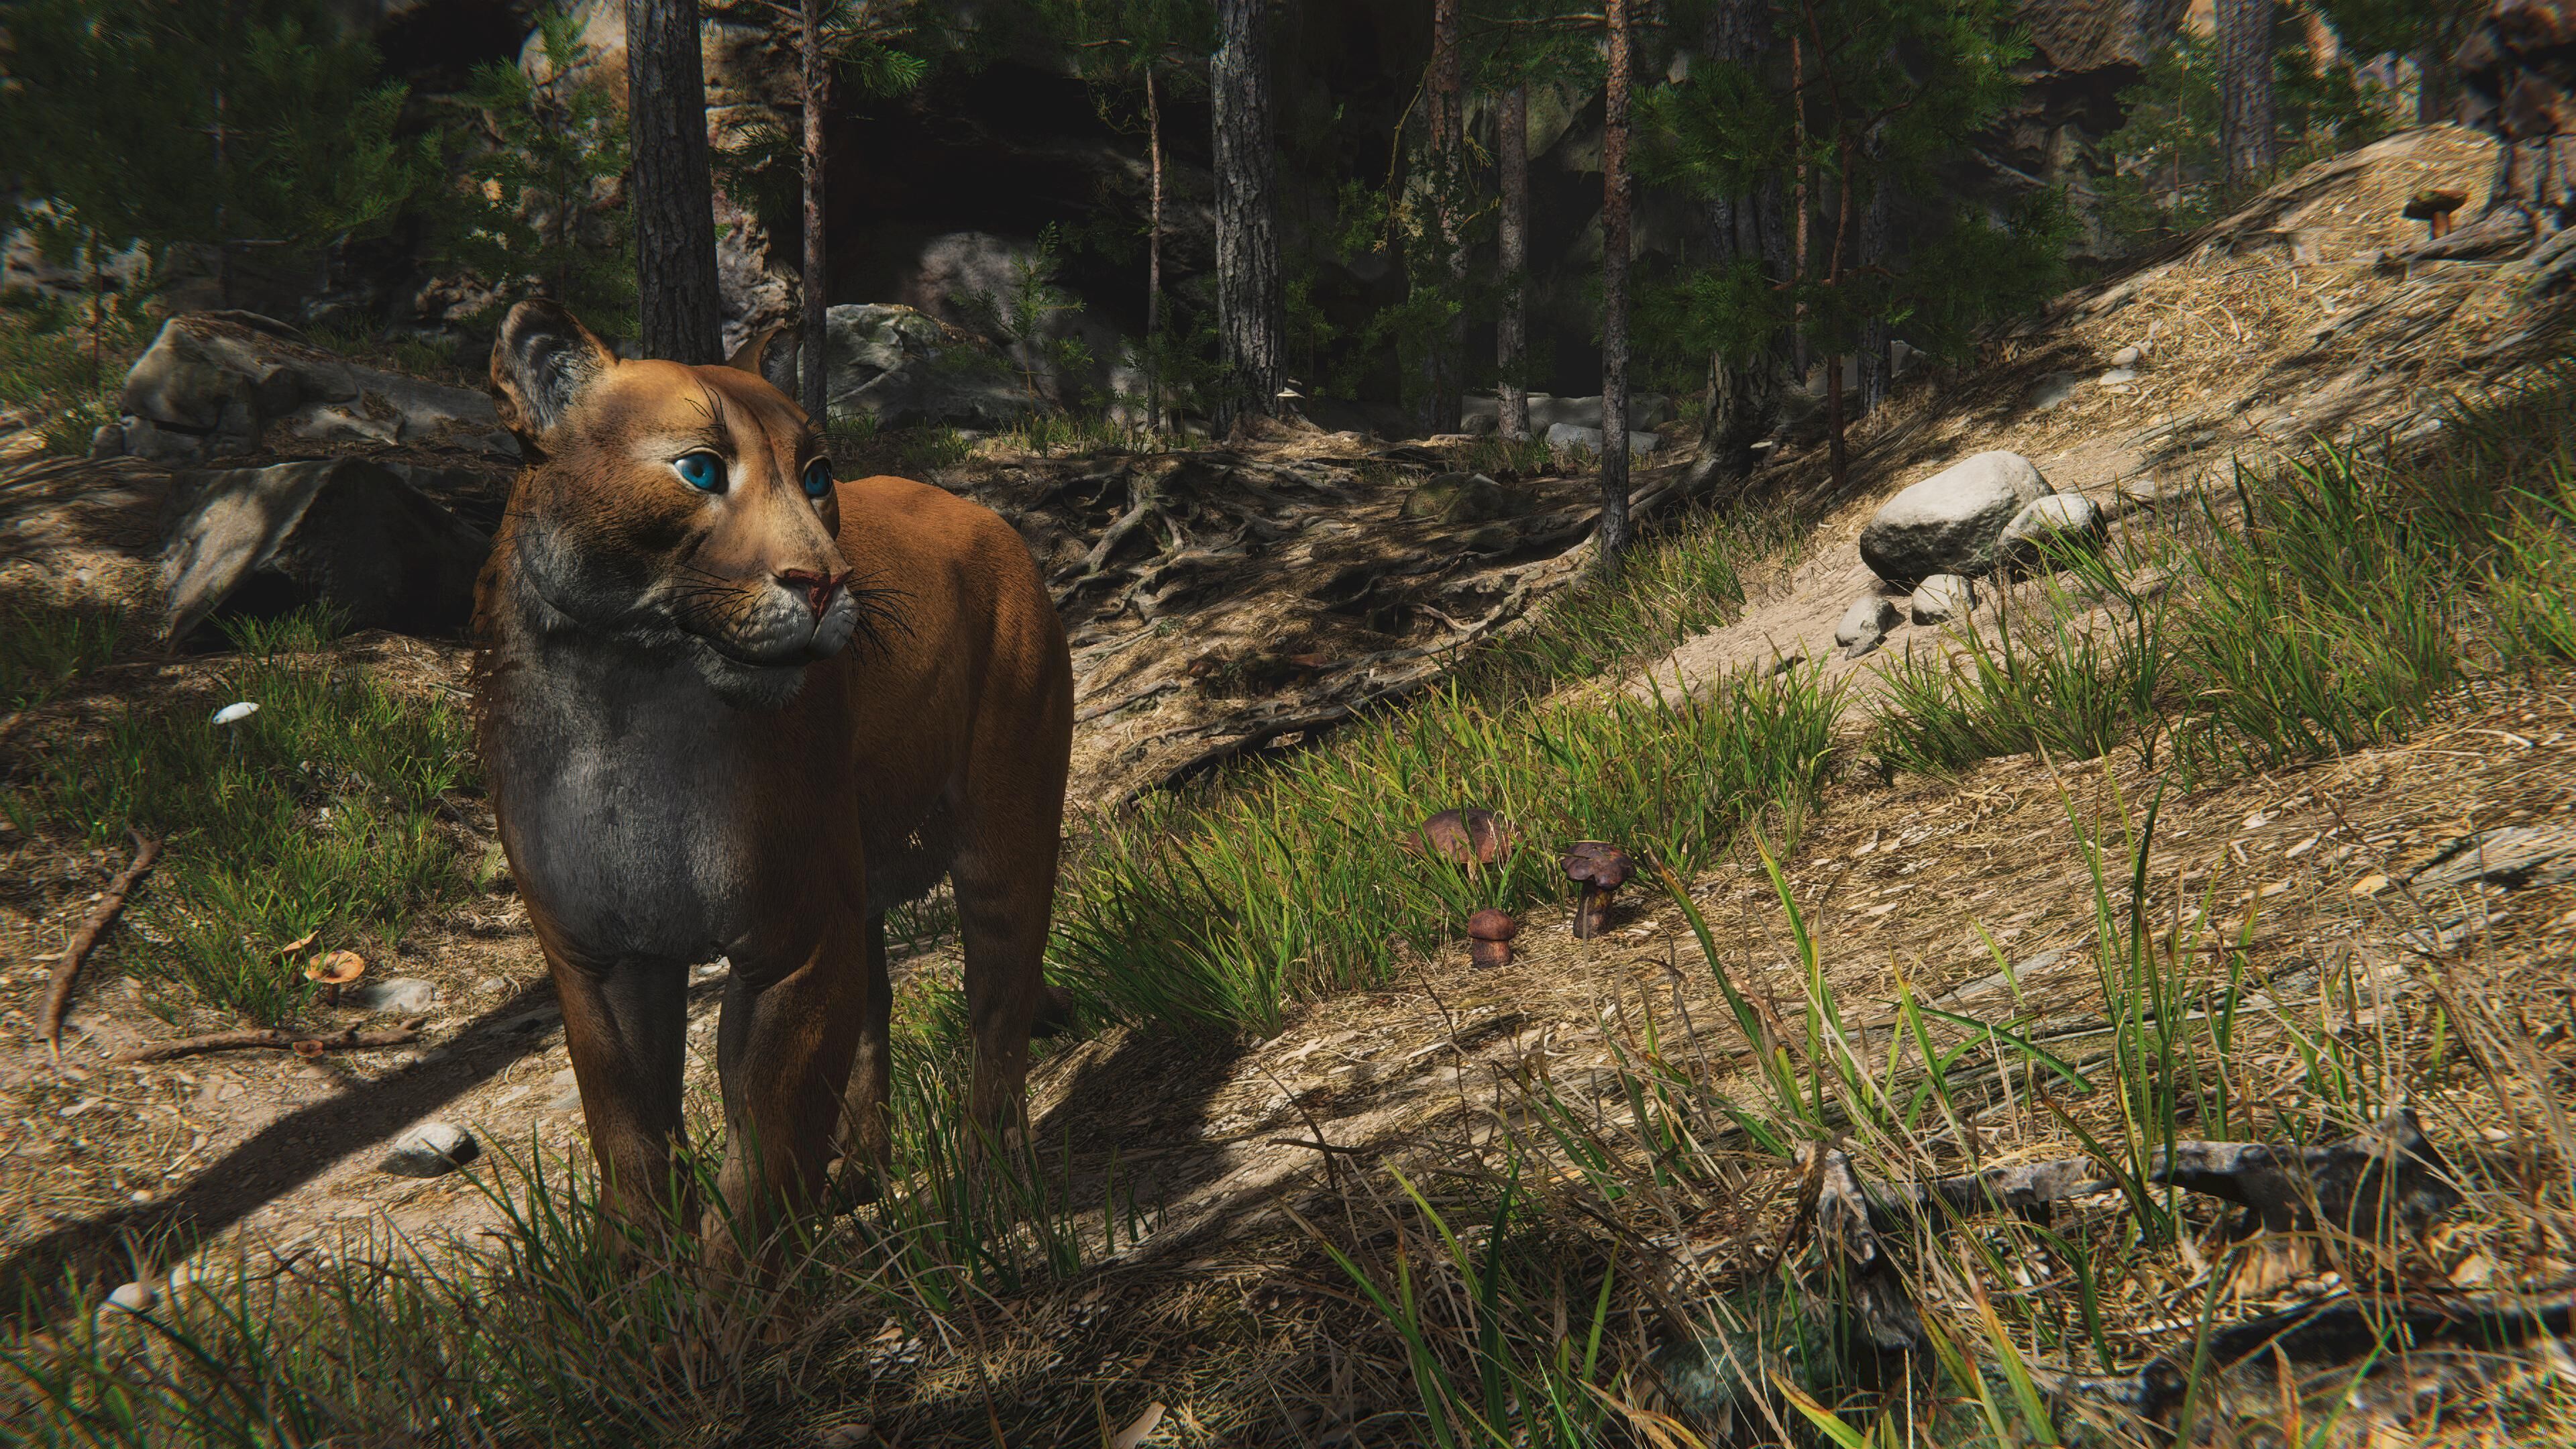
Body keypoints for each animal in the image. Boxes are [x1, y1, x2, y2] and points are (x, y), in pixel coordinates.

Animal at [472, 299, 1074, 1266]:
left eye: (817, 474)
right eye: (699, 469)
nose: (822, 582)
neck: (630, 711)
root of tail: (980, 512)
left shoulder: (794, 944)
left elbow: (768, 1145)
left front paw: (735, 1294)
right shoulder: (599, 956)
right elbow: (627, 1126)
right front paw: (633, 1276)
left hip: (1003, 839)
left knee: (997, 1012)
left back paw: (988, 1186)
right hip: (858, 882)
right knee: (877, 1008)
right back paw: (858, 1173)